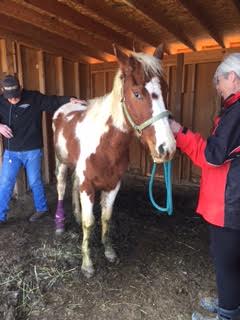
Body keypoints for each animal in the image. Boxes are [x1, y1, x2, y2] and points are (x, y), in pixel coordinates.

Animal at [53, 45, 176, 278]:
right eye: (137, 93)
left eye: (165, 90)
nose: (167, 149)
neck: (106, 145)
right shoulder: (88, 186)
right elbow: (89, 223)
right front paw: (87, 265)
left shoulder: (113, 185)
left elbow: (106, 218)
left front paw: (109, 252)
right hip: (61, 163)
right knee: (62, 187)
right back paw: (60, 224)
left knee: (73, 186)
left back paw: (75, 214)